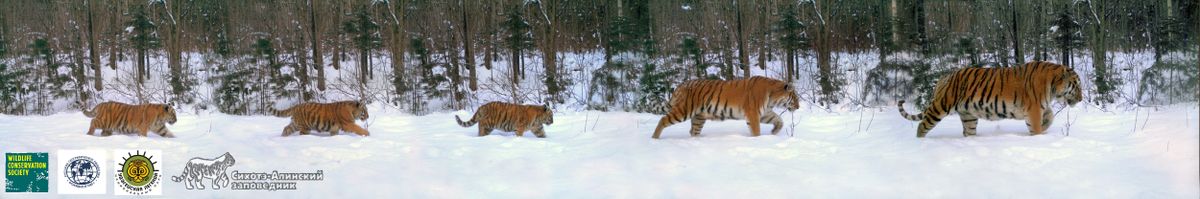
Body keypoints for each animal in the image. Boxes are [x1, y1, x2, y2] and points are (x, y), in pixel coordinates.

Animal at [652, 75, 801, 139]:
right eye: (795, 97)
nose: (799, 107)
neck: (772, 98)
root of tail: (681, 85)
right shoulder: (753, 113)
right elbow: (756, 130)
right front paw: (758, 140)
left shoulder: (764, 113)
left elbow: (779, 120)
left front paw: (774, 132)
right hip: (683, 110)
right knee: (663, 120)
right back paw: (655, 139)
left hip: (699, 117)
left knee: (693, 131)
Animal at [902, 61, 1089, 137]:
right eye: (1077, 85)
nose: (1081, 99)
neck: (1051, 87)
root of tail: (944, 76)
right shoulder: (1034, 109)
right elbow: (1036, 126)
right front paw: (1038, 135)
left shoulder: (1041, 107)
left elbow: (1050, 116)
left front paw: (1044, 128)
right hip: (941, 106)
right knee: (922, 126)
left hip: (968, 116)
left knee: (968, 132)